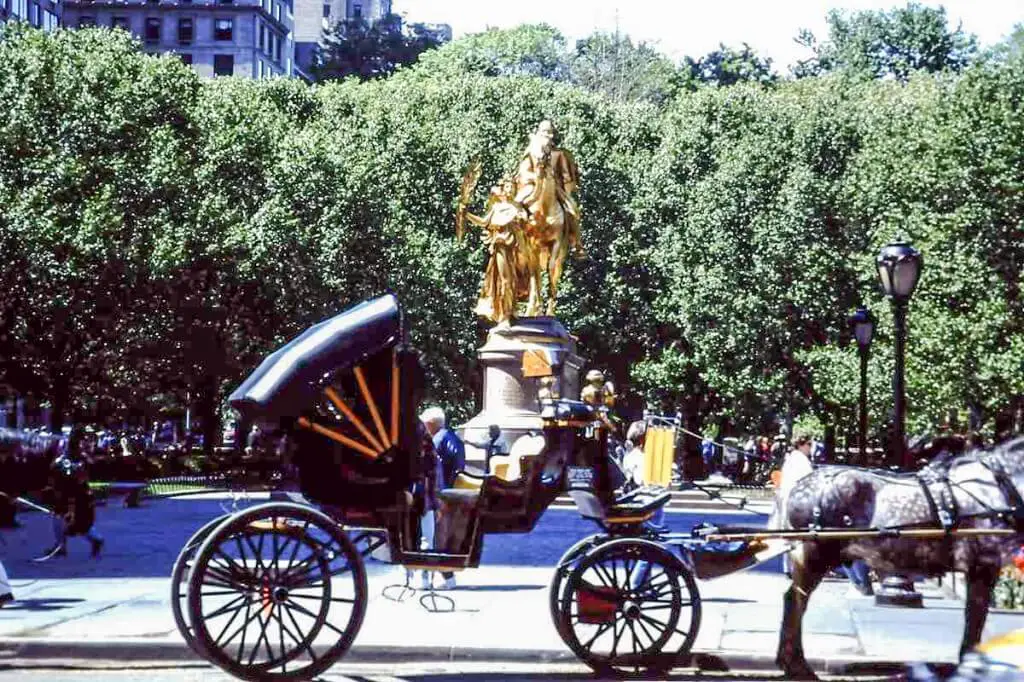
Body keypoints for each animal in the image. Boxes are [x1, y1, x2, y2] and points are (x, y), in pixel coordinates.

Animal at [774, 436, 1024, 675]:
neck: (999, 486)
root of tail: (800, 483)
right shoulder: (984, 564)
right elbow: (976, 616)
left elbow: (974, 616)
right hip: (814, 555)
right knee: (796, 602)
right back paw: (797, 665)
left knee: (793, 599)